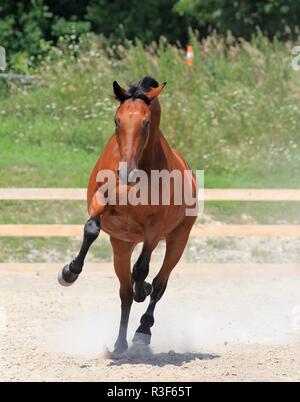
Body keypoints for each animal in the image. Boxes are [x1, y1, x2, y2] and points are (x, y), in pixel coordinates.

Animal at [59, 77, 198, 354]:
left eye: (146, 122)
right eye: (117, 120)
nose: (126, 173)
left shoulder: (154, 227)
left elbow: (143, 269)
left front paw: (141, 289)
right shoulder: (101, 203)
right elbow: (91, 229)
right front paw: (69, 272)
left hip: (178, 238)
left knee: (159, 283)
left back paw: (143, 330)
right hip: (122, 244)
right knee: (124, 293)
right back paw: (120, 343)